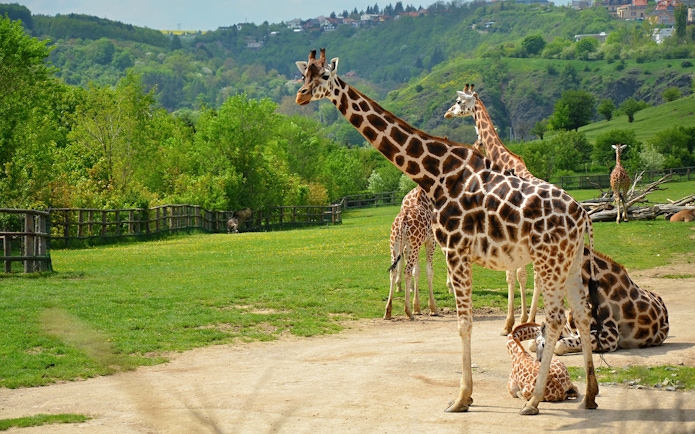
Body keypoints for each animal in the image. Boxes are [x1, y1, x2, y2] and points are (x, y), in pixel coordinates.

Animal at [385, 187, 438, 320]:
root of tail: (402, 223)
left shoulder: (417, 245)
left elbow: (417, 271)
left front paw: (417, 307)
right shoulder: (431, 241)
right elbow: (429, 271)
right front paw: (433, 308)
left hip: (395, 245)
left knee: (393, 271)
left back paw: (388, 311)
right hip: (412, 246)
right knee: (407, 271)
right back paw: (408, 311)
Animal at [444, 84, 538, 336]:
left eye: (458, 101)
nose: (447, 114)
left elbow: (513, 276)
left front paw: (509, 324)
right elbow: (519, 275)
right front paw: (520, 319)